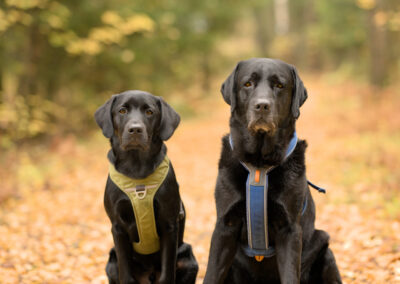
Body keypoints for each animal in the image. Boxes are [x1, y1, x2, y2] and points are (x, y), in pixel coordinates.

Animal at [95, 91, 198, 284]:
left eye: (150, 112)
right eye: (122, 110)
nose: (135, 129)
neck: (137, 170)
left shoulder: (169, 225)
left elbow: (166, 274)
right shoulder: (117, 227)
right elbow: (126, 274)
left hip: (188, 260)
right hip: (111, 262)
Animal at [206, 58, 340, 282]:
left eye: (279, 85)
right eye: (247, 84)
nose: (262, 106)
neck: (259, 165)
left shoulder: (290, 229)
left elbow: (290, 275)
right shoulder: (225, 225)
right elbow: (211, 274)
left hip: (324, 247)